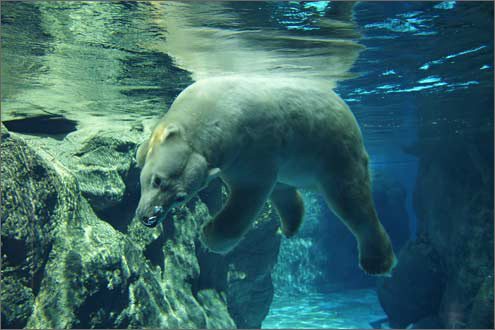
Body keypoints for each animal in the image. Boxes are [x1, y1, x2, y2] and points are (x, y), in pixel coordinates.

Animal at [134, 76, 398, 274]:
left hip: (336, 152)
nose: (150, 217)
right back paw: (290, 226)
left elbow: (248, 195)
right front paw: (140, 152)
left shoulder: (251, 149)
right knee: (284, 189)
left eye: (180, 197)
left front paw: (209, 235)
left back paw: (377, 261)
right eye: (157, 180)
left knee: (351, 202)